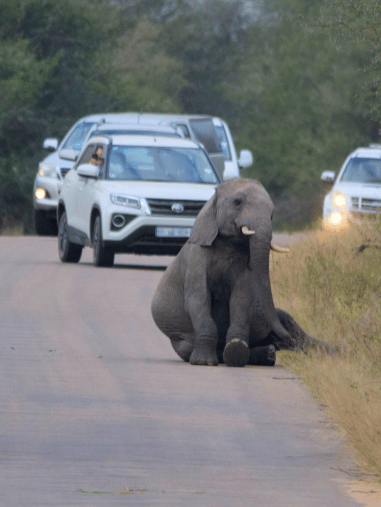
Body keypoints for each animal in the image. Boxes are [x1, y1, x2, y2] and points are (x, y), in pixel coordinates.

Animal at [150, 177, 336, 368]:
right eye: (237, 202)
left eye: (273, 213)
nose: (285, 336)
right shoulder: (195, 259)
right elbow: (198, 299)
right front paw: (204, 362)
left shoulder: (246, 264)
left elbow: (241, 299)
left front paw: (236, 352)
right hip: (181, 340)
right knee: (187, 346)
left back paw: (266, 354)